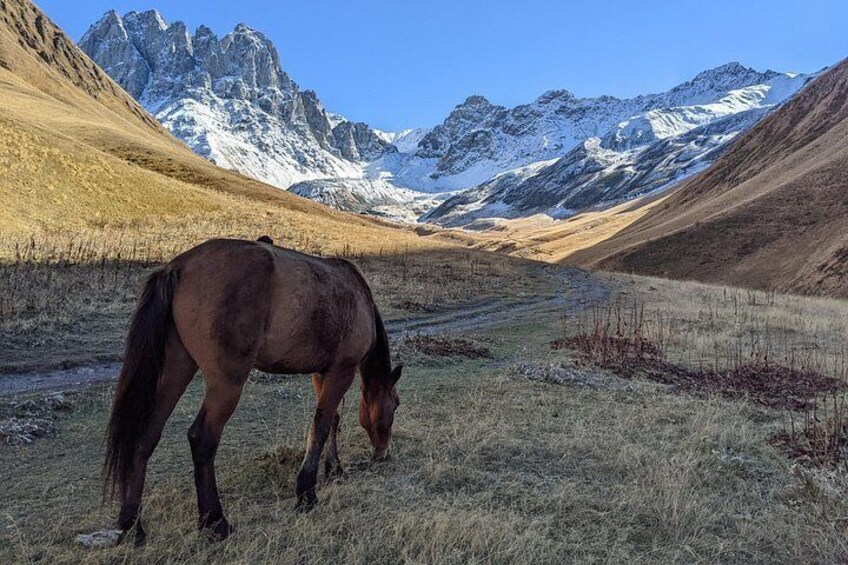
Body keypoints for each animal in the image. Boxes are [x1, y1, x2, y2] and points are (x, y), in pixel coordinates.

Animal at [103, 237, 403, 544]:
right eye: (395, 404)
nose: (383, 453)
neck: (359, 297)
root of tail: (179, 266)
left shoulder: (323, 373)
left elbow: (333, 422)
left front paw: (335, 470)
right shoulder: (341, 371)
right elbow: (320, 426)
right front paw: (306, 493)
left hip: (176, 368)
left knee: (145, 436)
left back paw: (133, 527)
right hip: (226, 382)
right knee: (202, 438)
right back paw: (215, 521)